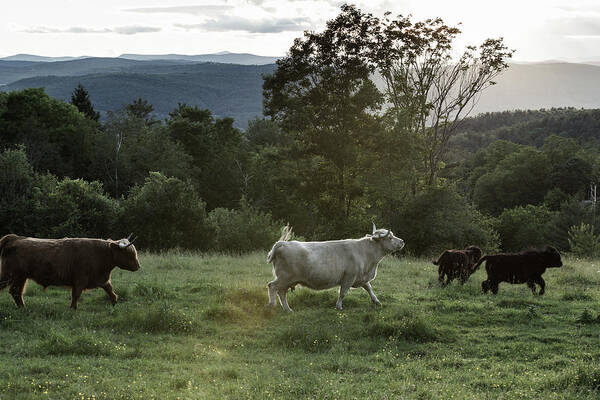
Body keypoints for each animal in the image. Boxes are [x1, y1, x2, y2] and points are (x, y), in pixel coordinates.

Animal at [0, 234, 139, 310]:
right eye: (129, 254)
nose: (138, 266)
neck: (101, 254)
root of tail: (15, 238)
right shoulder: (80, 279)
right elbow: (76, 295)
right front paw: (73, 309)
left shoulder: (101, 279)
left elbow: (111, 291)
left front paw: (115, 304)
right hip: (11, 275)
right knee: (15, 291)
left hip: (21, 277)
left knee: (16, 292)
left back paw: (23, 308)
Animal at [266, 223, 404, 310]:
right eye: (390, 237)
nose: (402, 241)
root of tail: (282, 243)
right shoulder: (349, 277)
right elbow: (342, 293)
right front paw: (339, 306)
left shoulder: (361, 277)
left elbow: (369, 288)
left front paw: (376, 301)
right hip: (284, 277)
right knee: (272, 286)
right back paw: (272, 304)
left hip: (288, 280)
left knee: (281, 292)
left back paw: (287, 309)